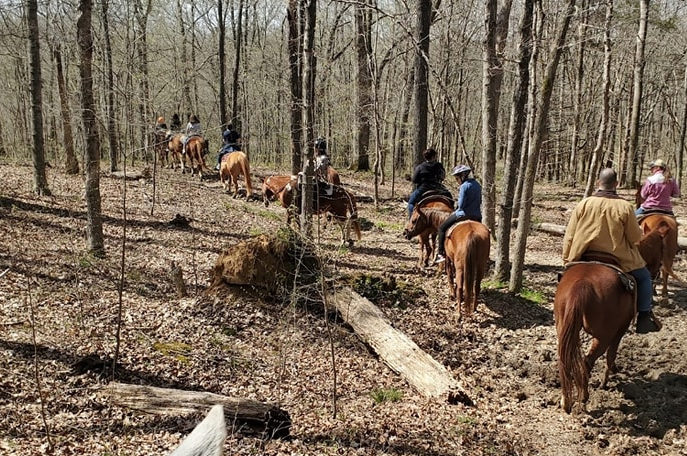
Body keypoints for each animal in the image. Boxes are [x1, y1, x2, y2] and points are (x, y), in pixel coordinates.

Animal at [554, 222, 669, 414]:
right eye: (662, 248)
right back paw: (584, 396)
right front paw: (605, 381)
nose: (658, 271)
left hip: (565, 329)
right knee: (587, 361)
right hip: (604, 336)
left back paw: (566, 400)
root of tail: (582, 284)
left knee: (566, 361)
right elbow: (611, 354)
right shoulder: (620, 330)